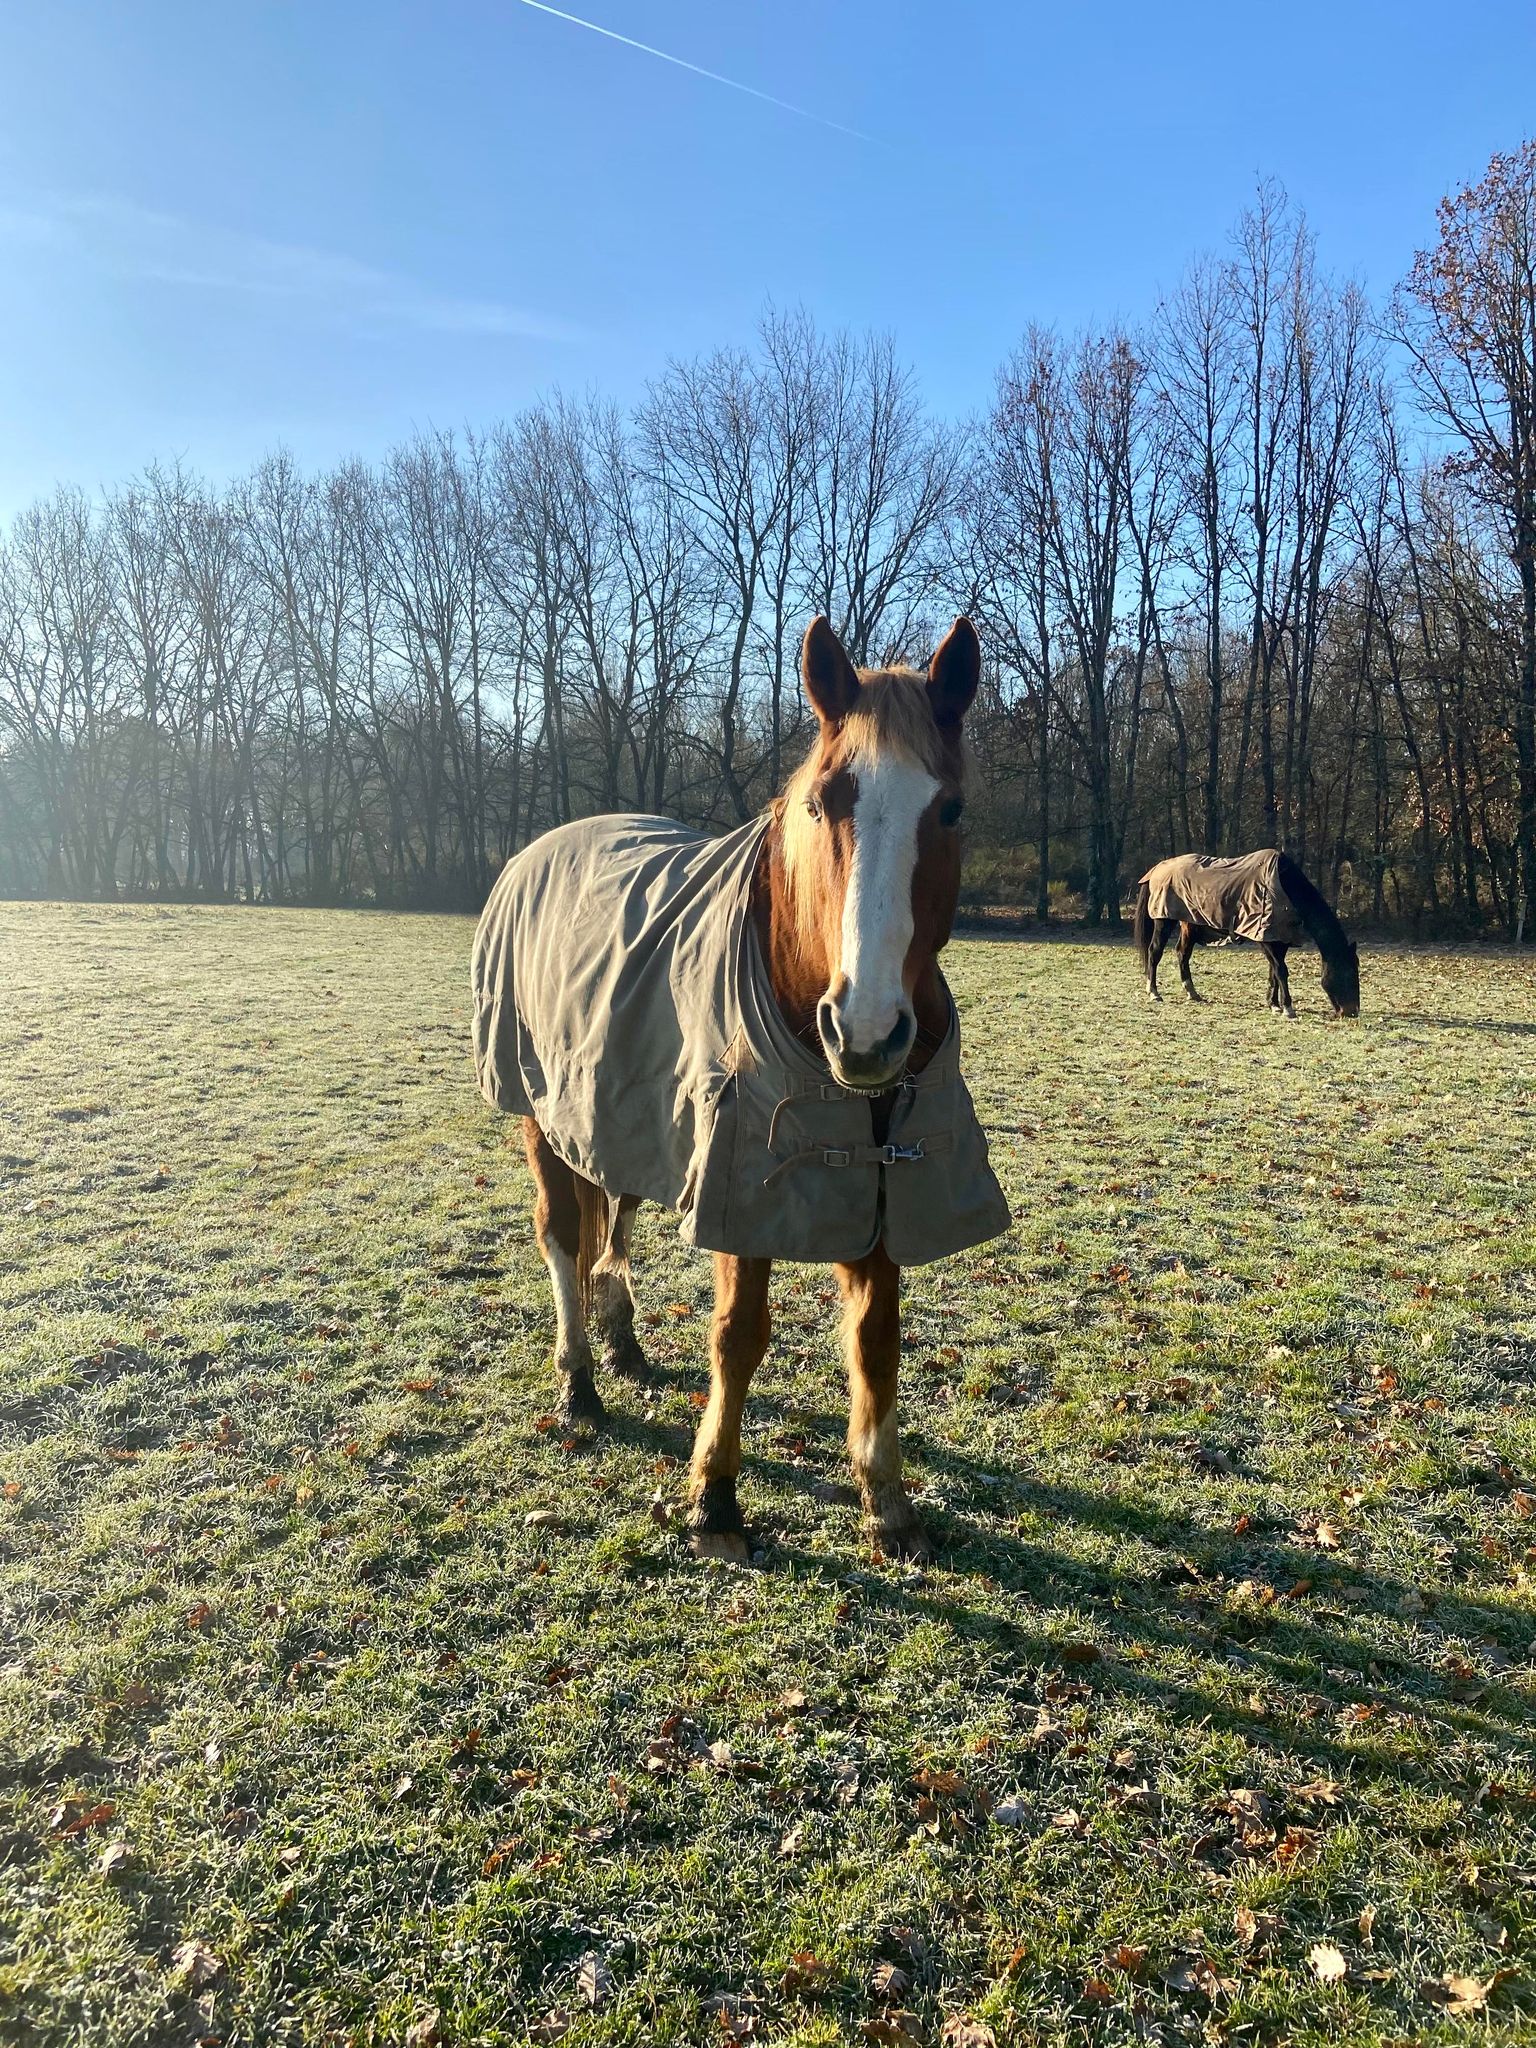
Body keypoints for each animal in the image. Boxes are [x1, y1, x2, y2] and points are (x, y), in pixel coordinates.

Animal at [471, 616, 1008, 1563]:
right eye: (823, 802)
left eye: (948, 810)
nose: (866, 1030)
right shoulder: (742, 1187)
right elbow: (739, 1337)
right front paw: (714, 1497)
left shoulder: (883, 1179)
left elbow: (877, 1340)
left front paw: (887, 1501)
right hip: (540, 1113)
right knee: (563, 1235)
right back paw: (579, 1381)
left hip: (622, 1116)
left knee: (615, 1216)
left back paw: (621, 1341)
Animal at [1133, 849, 1360, 1017]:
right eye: (1348, 972)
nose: (1352, 1012)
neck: (1284, 886)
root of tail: (1158, 868)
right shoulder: (1264, 938)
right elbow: (1281, 971)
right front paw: (1287, 1008)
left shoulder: (1279, 939)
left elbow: (1274, 972)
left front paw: (1274, 1004)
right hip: (1164, 920)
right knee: (1155, 952)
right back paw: (1154, 992)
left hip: (1189, 923)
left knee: (1182, 954)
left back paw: (1192, 992)